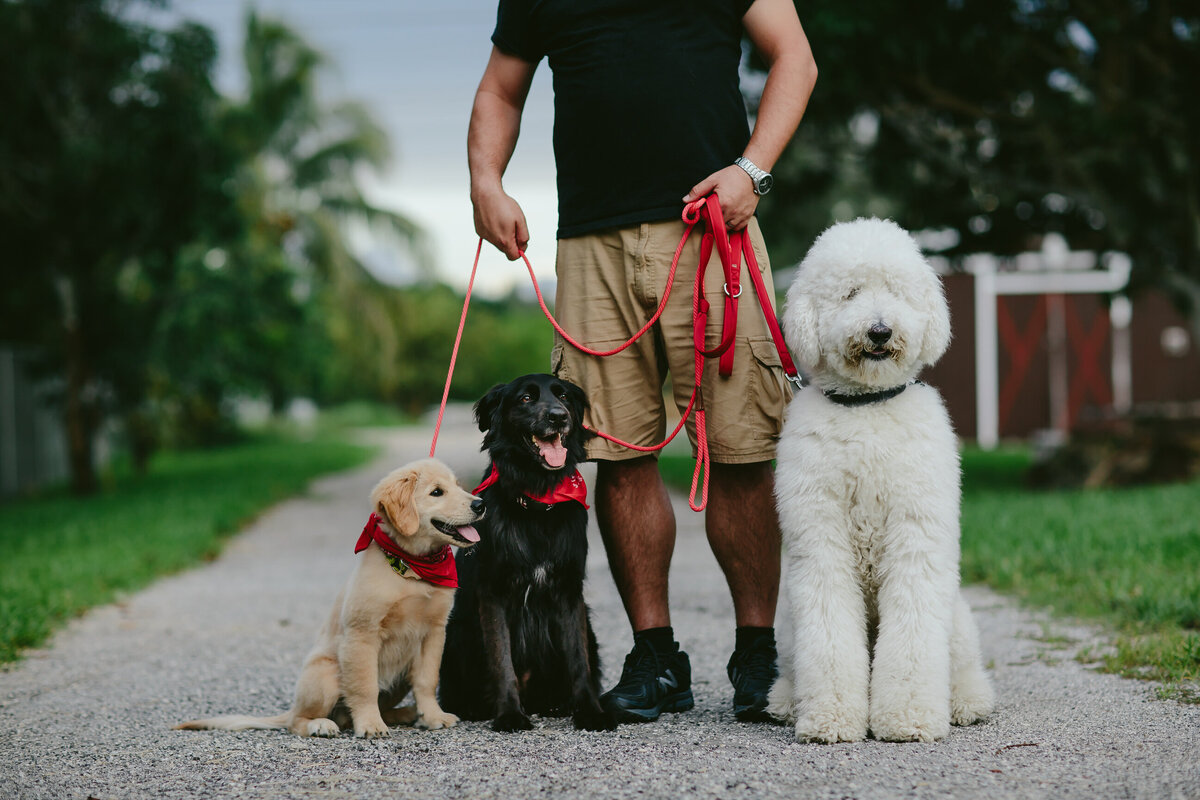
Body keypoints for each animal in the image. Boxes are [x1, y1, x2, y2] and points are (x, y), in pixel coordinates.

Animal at [175, 460, 482, 743]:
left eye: (458, 485)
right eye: (436, 492)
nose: (480, 504)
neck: (413, 568)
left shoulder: (434, 632)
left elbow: (427, 680)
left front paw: (432, 716)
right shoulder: (362, 634)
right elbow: (365, 687)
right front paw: (370, 724)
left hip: (398, 679)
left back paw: (405, 713)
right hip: (326, 674)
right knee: (299, 721)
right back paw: (321, 724)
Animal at [436, 374, 614, 734]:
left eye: (563, 396)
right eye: (526, 398)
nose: (558, 417)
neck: (537, 502)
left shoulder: (569, 592)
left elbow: (579, 660)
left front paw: (590, 711)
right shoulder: (493, 593)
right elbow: (501, 657)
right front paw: (509, 714)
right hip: (456, 631)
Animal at [768, 219, 993, 743]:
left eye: (894, 291)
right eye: (850, 292)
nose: (879, 330)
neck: (867, 407)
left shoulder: (915, 535)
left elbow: (912, 632)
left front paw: (908, 718)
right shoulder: (821, 541)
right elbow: (829, 635)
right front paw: (830, 717)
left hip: (957, 619)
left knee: (963, 666)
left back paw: (967, 701)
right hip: (787, 627)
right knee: (793, 665)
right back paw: (786, 701)